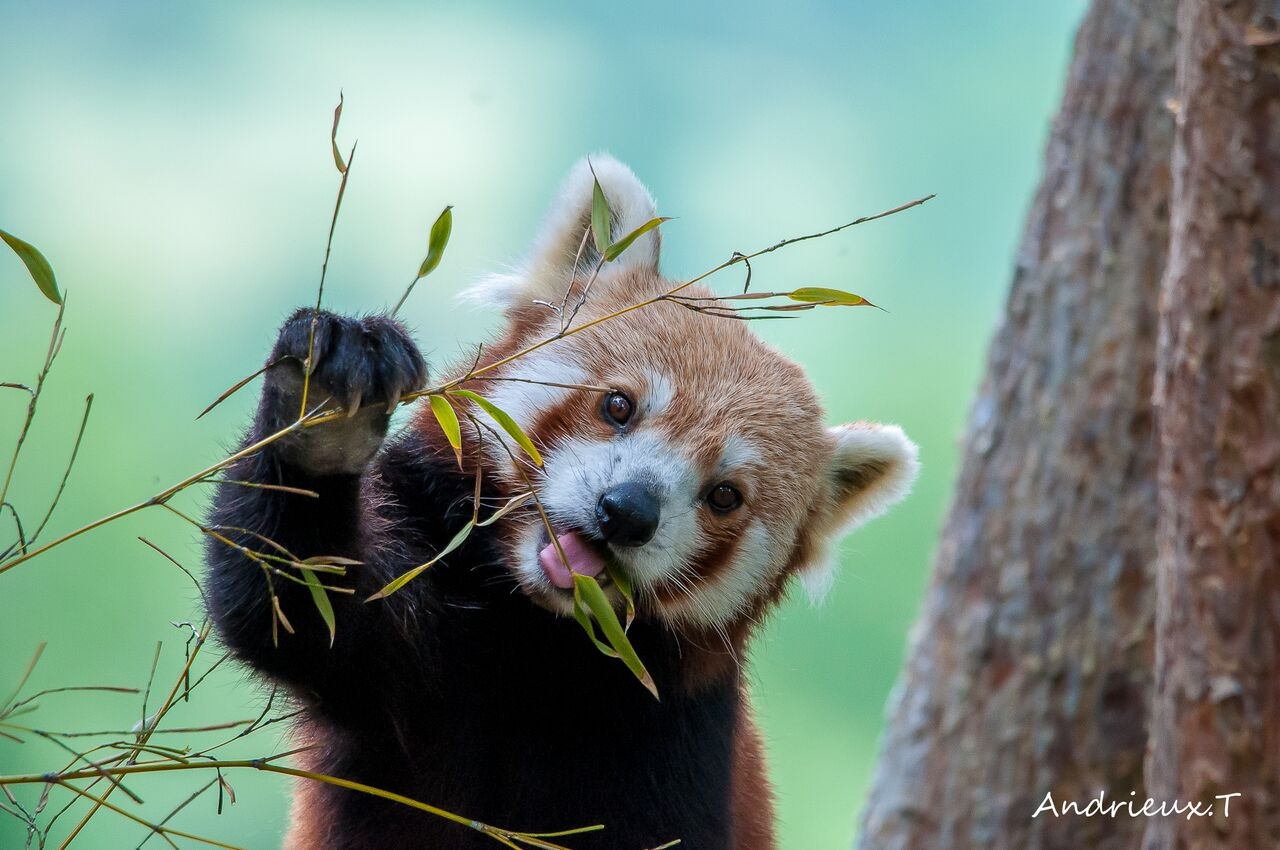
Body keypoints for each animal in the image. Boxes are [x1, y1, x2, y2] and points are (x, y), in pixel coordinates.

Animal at [202, 154, 921, 850]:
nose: (627, 512)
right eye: (618, 406)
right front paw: (323, 409)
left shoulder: (670, 742)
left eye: (725, 495)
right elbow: (297, 605)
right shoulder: (415, 664)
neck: (541, 638)